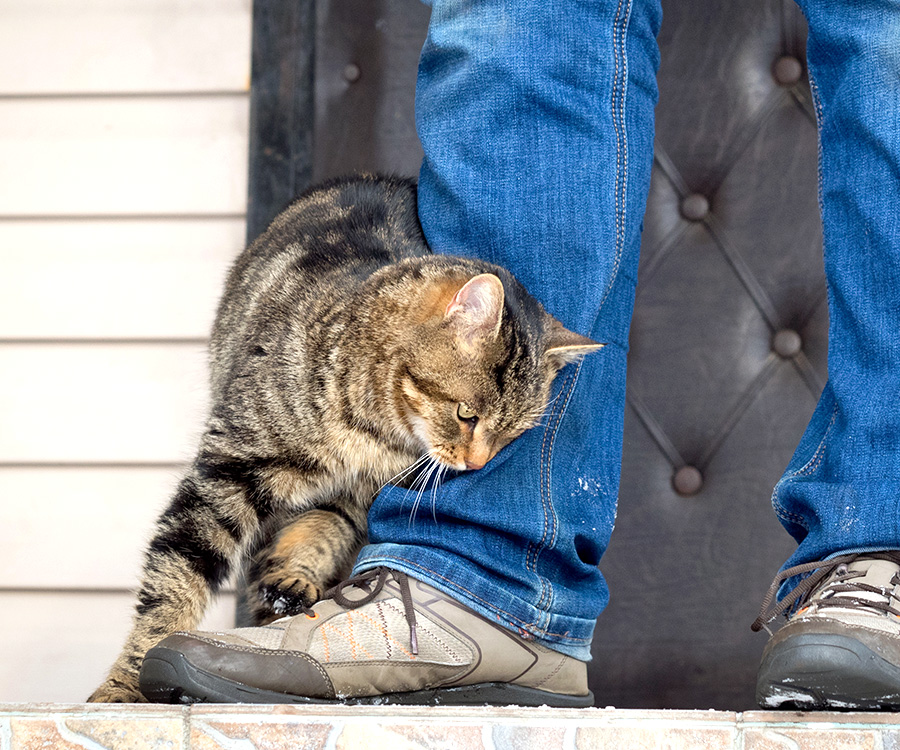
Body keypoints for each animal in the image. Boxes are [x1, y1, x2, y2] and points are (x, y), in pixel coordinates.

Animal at [88, 173, 600, 704]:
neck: (374, 431)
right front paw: (126, 681)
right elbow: (175, 579)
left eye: (511, 436)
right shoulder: (229, 468)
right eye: (467, 415)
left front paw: (295, 577)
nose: (477, 465)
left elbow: (326, 529)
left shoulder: (363, 496)